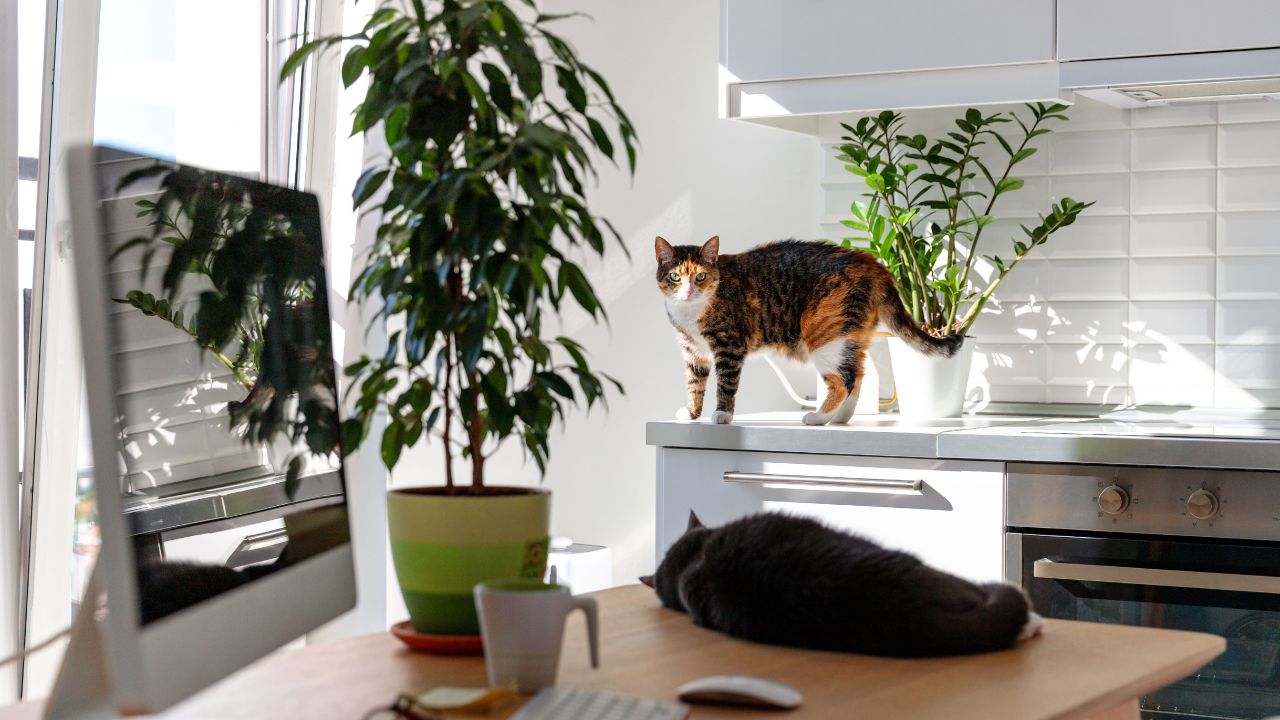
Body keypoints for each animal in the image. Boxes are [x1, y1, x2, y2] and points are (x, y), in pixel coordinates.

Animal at [655, 235, 962, 425]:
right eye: (675, 276)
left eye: (701, 276)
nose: (689, 290)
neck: (689, 312)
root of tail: (872, 264)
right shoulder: (694, 352)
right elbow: (694, 385)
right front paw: (692, 414)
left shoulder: (728, 346)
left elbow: (725, 385)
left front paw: (722, 415)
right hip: (849, 336)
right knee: (857, 374)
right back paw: (840, 419)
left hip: (825, 335)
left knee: (844, 380)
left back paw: (818, 418)